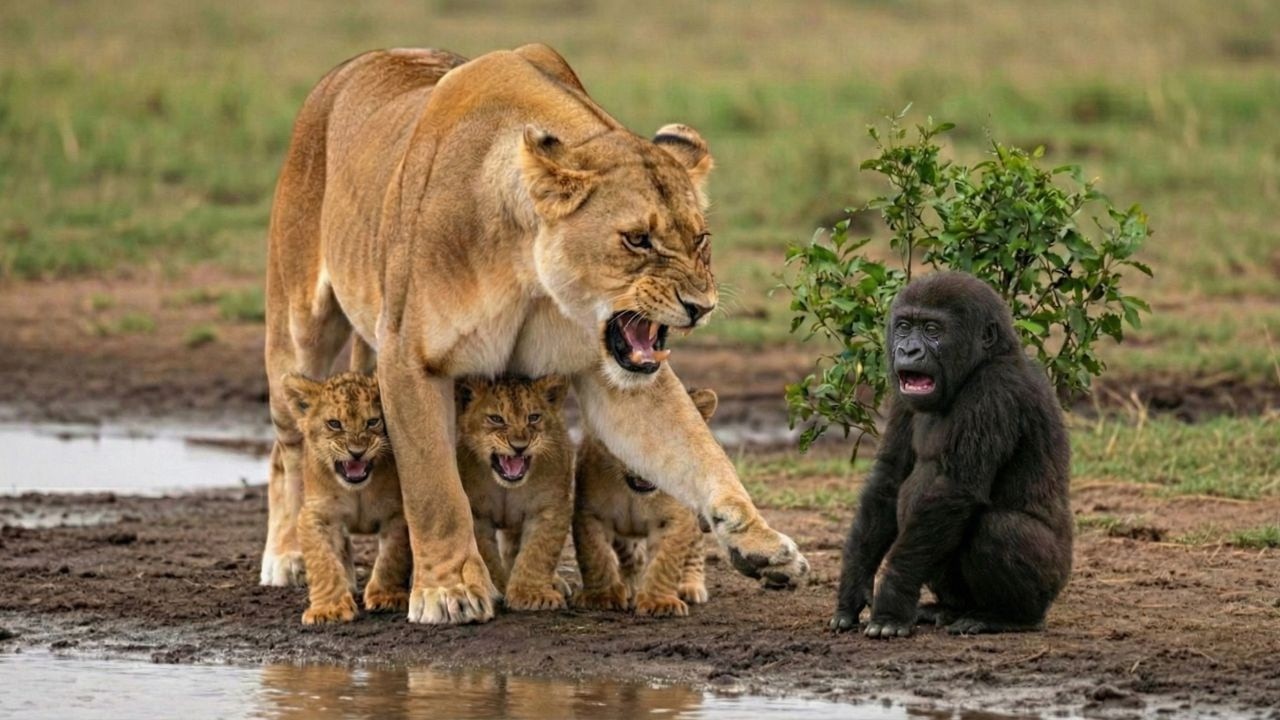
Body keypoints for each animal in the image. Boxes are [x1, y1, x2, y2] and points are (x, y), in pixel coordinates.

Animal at [280, 372, 410, 624]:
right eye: (334, 424)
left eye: (373, 422)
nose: (356, 452)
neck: (357, 490)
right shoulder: (316, 514)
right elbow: (323, 561)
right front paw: (328, 609)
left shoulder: (398, 513)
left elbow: (392, 557)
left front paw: (387, 597)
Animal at [455, 374, 574, 611]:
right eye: (496, 419)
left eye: (534, 417)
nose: (519, 446)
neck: (506, 488)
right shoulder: (476, 512)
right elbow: (484, 553)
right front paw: (495, 587)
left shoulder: (550, 507)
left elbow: (538, 552)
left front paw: (532, 595)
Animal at [575, 388, 718, 617]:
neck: (633, 494)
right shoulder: (589, 513)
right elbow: (596, 556)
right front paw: (603, 597)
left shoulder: (674, 518)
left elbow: (665, 563)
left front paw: (659, 602)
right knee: (632, 555)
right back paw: (629, 585)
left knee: (695, 546)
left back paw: (690, 586)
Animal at [830, 271, 1073, 638]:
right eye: (904, 327)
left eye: (932, 330)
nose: (908, 349)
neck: (987, 358)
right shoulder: (903, 397)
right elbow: (889, 480)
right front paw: (854, 586)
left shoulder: (994, 390)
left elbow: (953, 489)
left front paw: (891, 602)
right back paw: (949, 608)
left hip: (1053, 582)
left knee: (998, 528)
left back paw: (1007, 617)